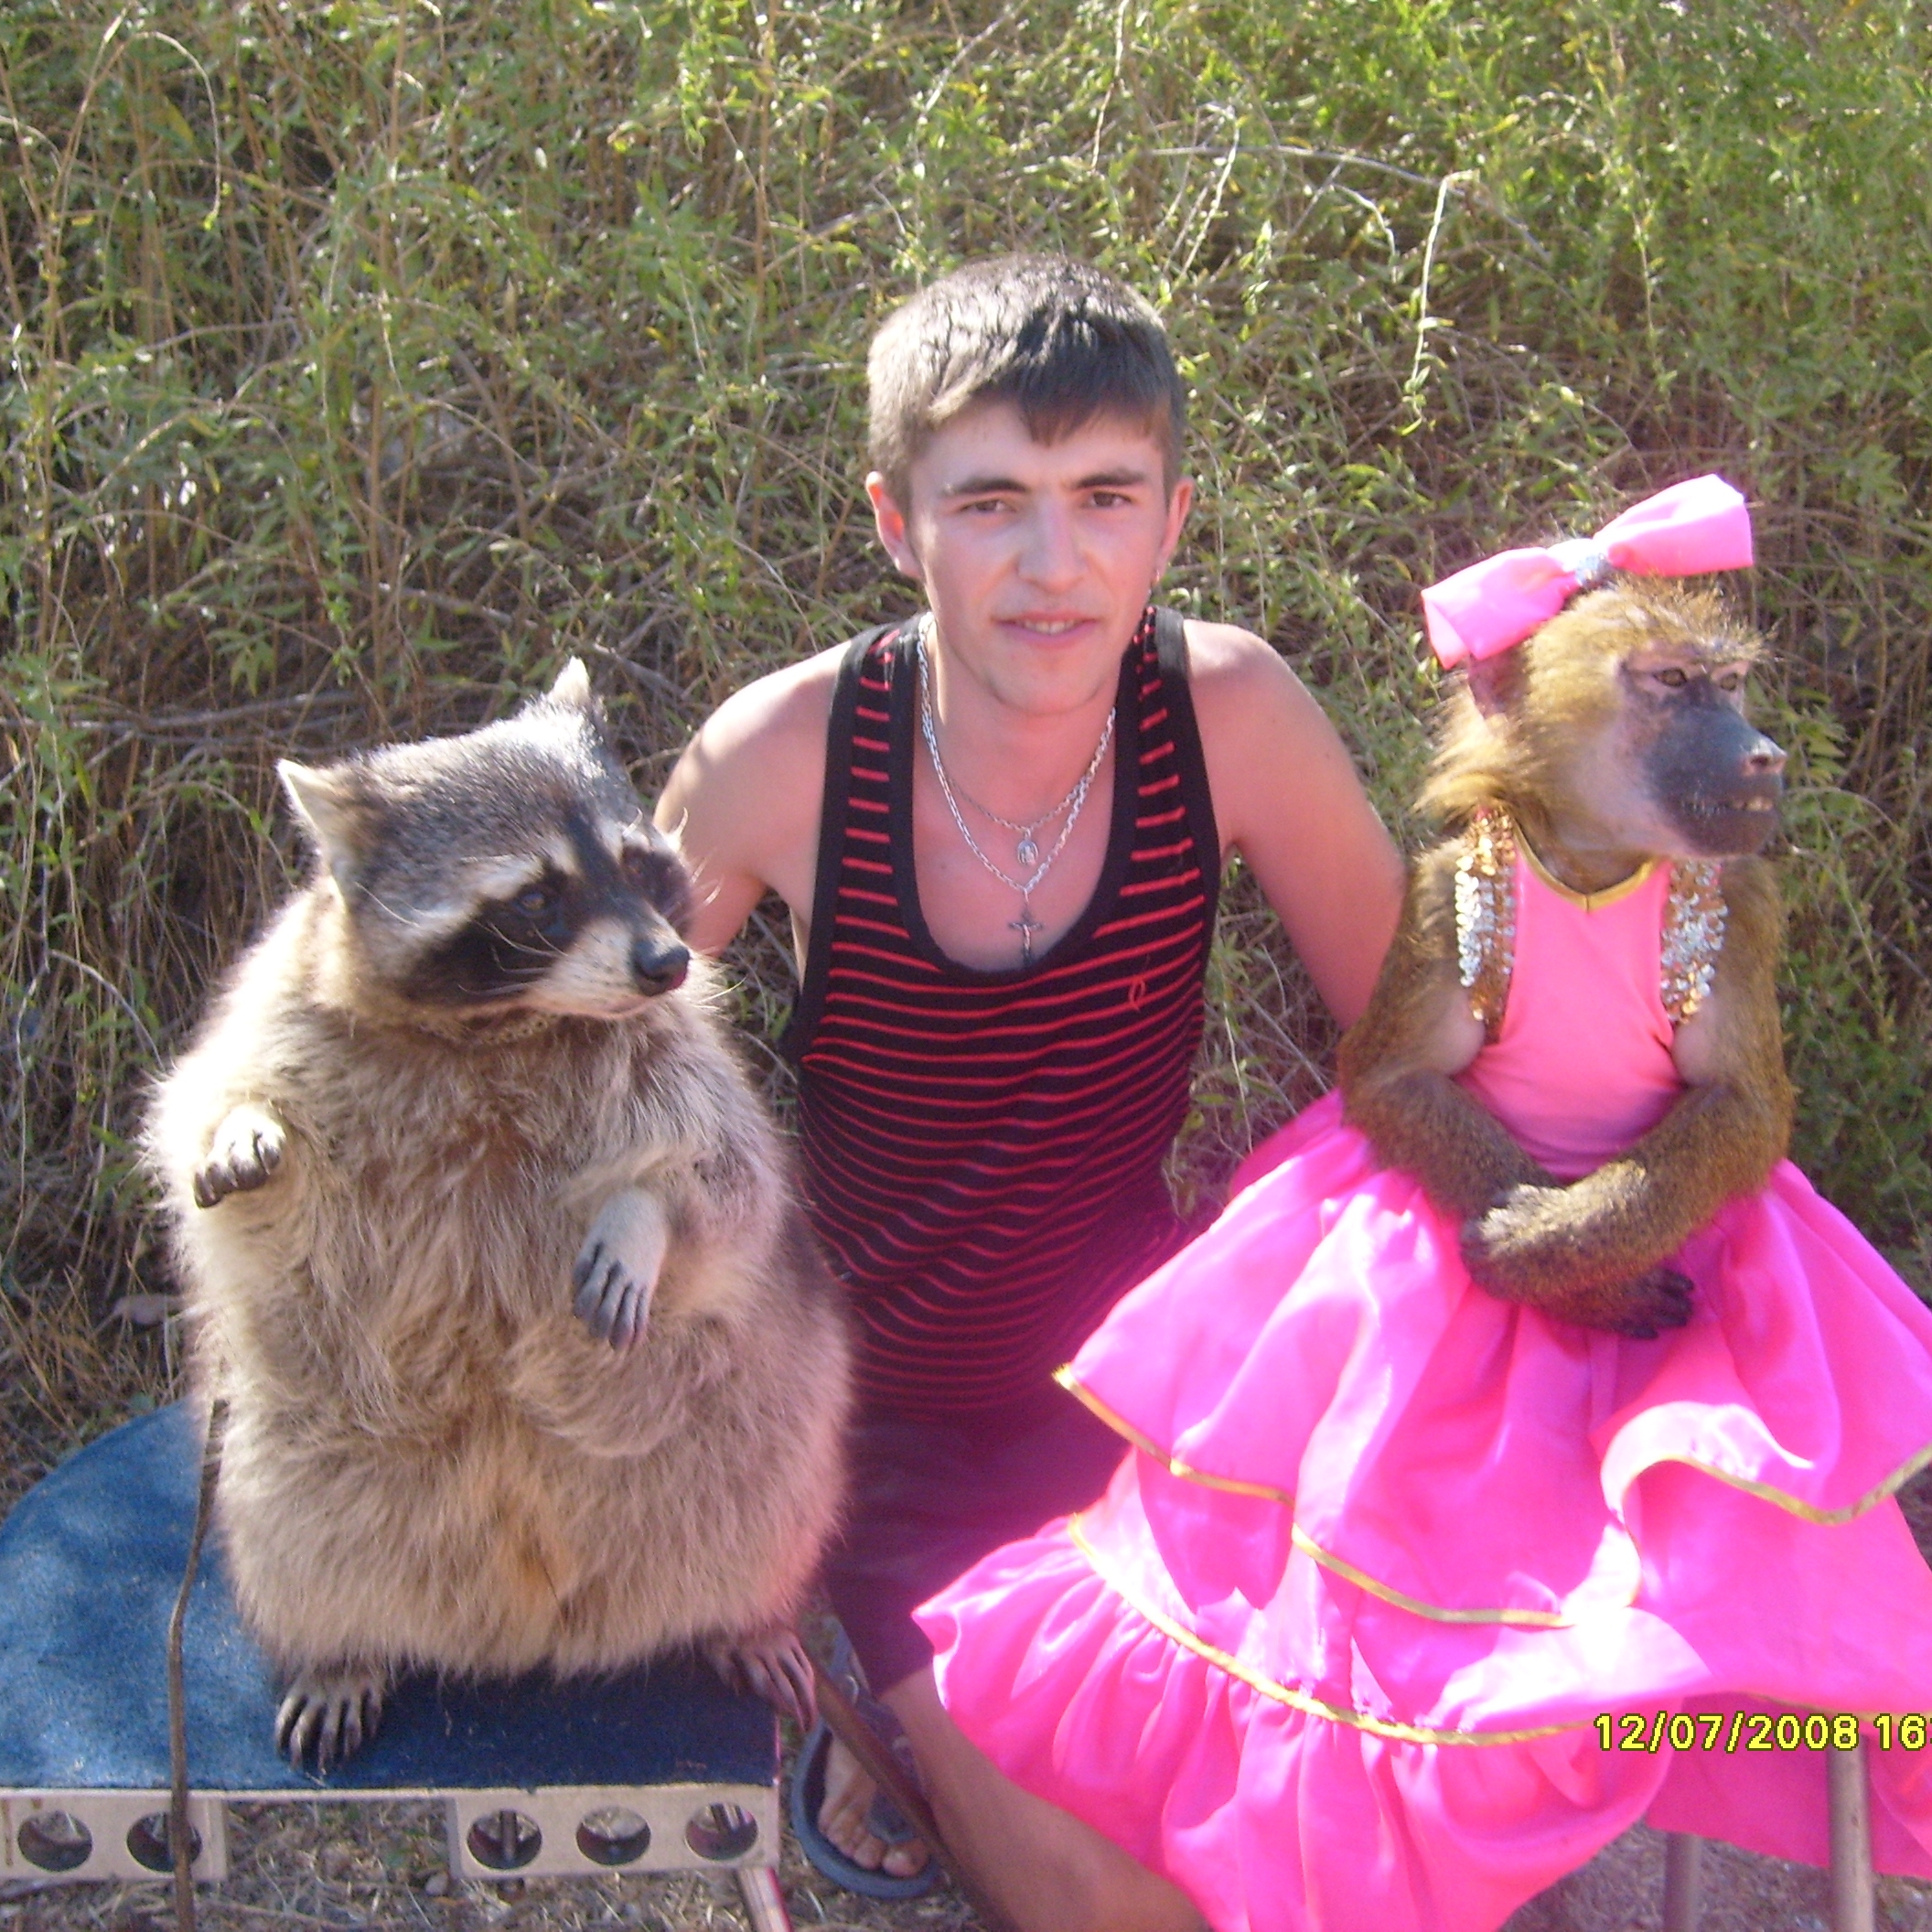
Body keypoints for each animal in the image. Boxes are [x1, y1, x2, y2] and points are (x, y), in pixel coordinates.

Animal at [145, 662, 851, 1768]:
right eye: (537, 898)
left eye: (637, 861)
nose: (664, 962)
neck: (504, 1025)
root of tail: (528, 1628)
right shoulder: (287, 1010)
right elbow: (205, 1110)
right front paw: (239, 1126)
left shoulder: (676, 1049)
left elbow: (727, 1176)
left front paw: (643, 1214)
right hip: (291, 1453)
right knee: (292, 1523)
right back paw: (336, 1644)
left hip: (759, 1424)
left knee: (773, 1490)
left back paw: (747, 1611)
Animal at [1339, 580, 1791, 1336]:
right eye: (1673, 679)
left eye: (1730, 684)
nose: (1765, 755)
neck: (1591, 869)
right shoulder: (1439, 892)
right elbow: (1394, 1080)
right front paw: (1593, 1290)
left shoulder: (1746, 905)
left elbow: (1745, 1104)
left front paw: (1539, 1248)